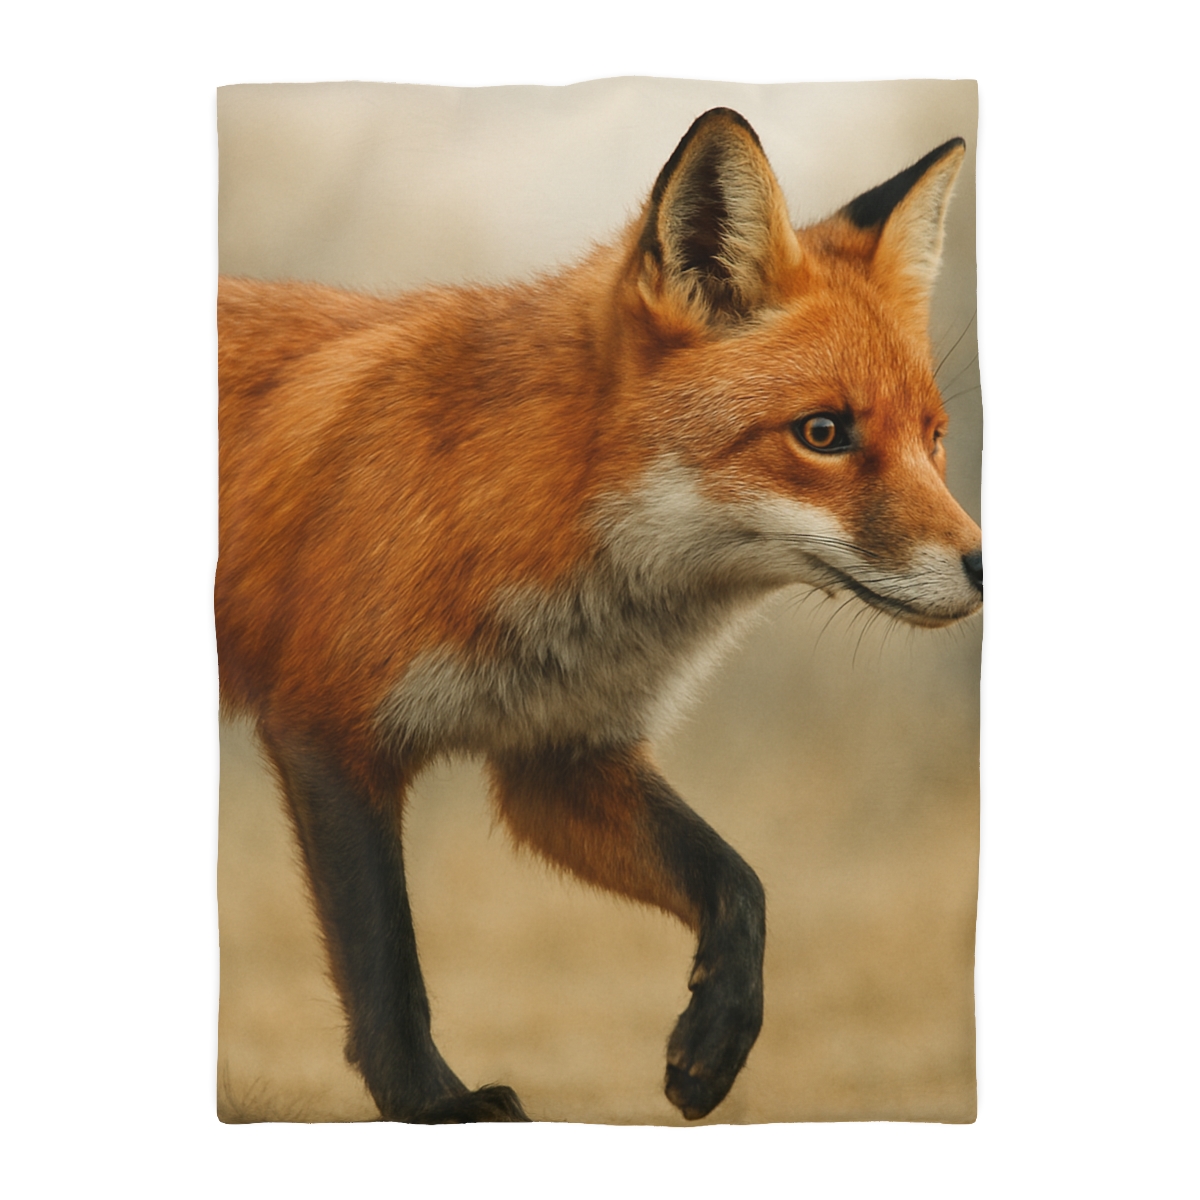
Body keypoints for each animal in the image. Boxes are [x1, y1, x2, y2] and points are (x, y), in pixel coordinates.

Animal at [217, 107, 982, 1124]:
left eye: (934, 439)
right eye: (823, 433)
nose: (985, 566)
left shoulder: (560, 757)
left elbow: (739, 881)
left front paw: (717, 1036)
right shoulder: (326, 729)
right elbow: (388, 967)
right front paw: (435, 1107)